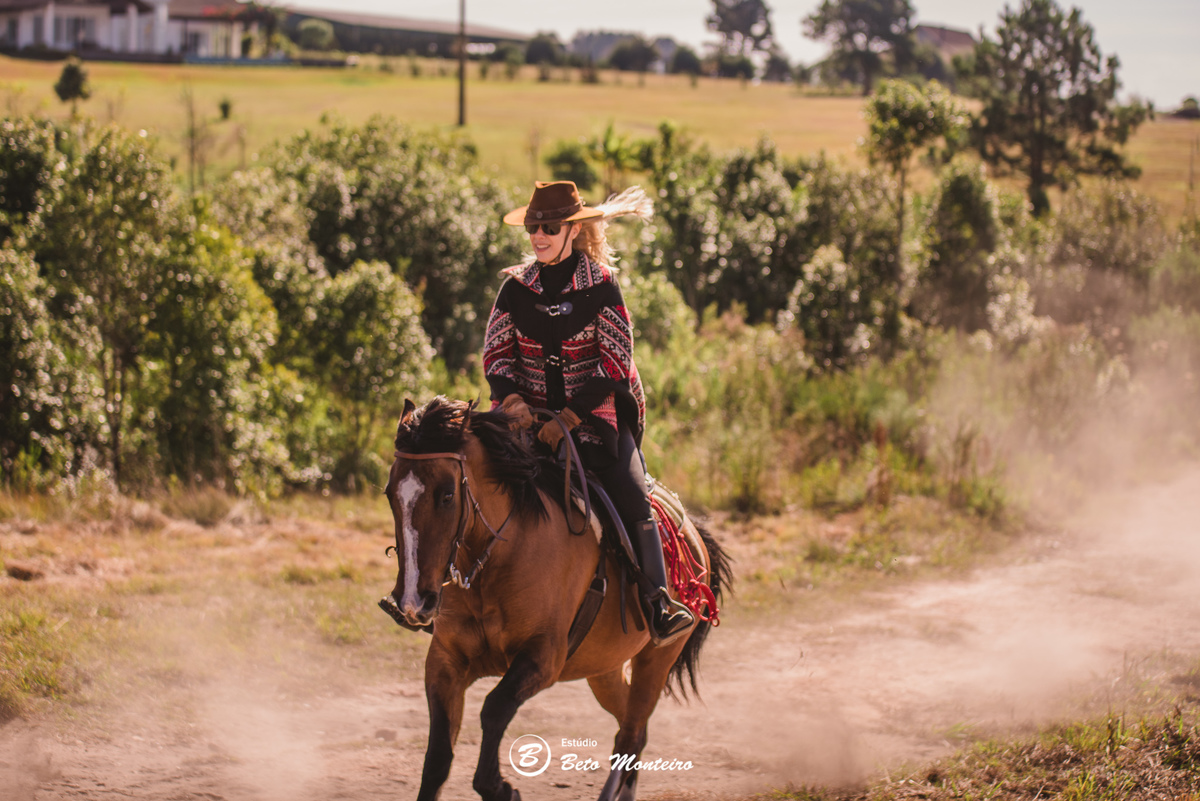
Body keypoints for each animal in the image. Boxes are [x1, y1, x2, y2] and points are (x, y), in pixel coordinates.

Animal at [380, 396, 730, 801]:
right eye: (390, 494)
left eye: (447, 495)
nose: (412, 601)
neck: (499, 558)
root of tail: (693, 531)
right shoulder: (445, 662)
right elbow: (437, 758)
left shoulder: (543, 658)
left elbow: (494, 709)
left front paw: (500, 787)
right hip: (604, 668)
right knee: (631, 726)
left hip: (656, 660)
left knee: (631, 732)